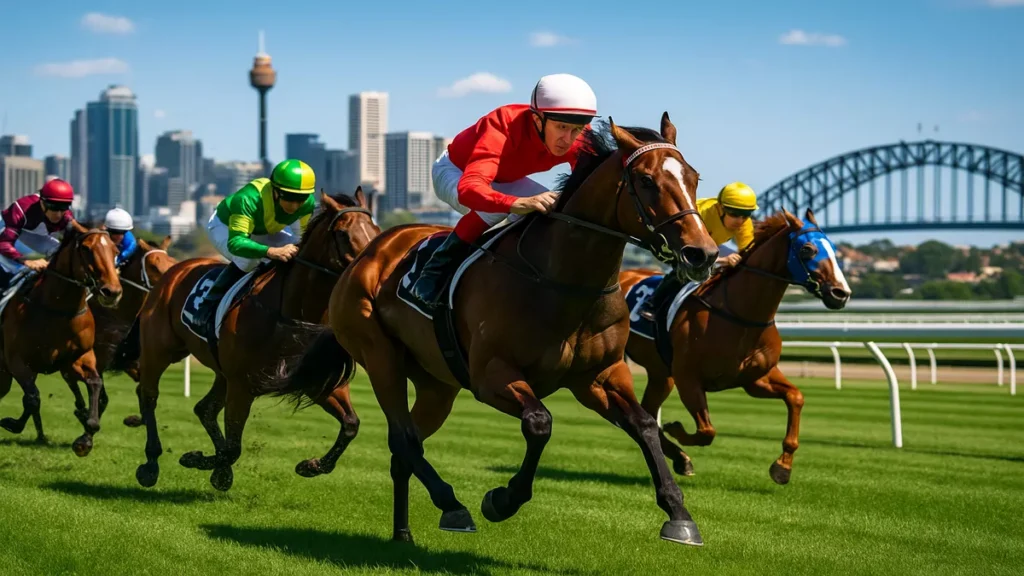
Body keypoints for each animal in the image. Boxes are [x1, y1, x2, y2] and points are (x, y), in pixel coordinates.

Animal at [0, 223, 123, 456]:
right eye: (86, 249)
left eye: (115, 250)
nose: (112, 291)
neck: (58, 309)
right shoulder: (16, 361)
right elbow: (32, 398)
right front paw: (12, 423)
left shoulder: (77, 359)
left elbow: (95, 383)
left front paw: (86, 436)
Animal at [110, 189, 379, 490]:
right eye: (343, 233)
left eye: (375, 229)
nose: (366, 273)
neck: (291, 312)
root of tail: (172, 273)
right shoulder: (242, 385)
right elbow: (233, 448)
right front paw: (198, 460)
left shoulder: (313, 380)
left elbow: (351, 424)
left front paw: (311, 466)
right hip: (160, 351)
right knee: (149, 396)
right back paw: (151, 463)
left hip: (220, 370)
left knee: (204, 409)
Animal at [266, 114, 721, 546]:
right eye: (645, 181)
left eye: (694, 177)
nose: (702, 253)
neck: (561, 280)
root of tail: (367, 254)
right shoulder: (491, 376)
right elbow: (539, 422)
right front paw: (502, 499)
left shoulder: (599, 377)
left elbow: (644, 425)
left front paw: (679, 515)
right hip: (381, 358)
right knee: (403, 439)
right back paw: (452, 506)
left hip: (437, 384)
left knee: (407, 448)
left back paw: (403, 532)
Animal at [621, 208, 851, 485]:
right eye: (807, 249)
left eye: (834, 248)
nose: (841, 293)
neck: (739, 314)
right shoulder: (687, 378)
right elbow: (707, 430)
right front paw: (676, 429)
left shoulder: (756, 379)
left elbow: (796, 397)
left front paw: (783, 466)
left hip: (661, 374)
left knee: (647, 410)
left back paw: (679, 456)